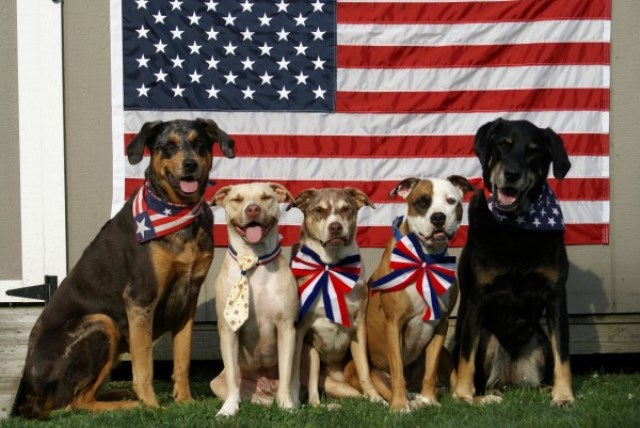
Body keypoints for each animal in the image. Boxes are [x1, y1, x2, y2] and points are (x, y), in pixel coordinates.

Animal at [18, 118, 236, 420]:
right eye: (168, 146)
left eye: (199, 143)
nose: (190, 164)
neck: (177, 211)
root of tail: (27, 389)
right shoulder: (140, 299)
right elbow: (144, 366)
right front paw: (153, 406)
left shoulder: (189, 299)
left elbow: (182, 361)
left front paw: (185, 401)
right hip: (101, 323)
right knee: (75, 401)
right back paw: (129, 404)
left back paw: (119, 395)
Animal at [210, 182, 300, 416]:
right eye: (237, 199)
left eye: (266, 197)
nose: (252, 209)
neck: (255, 260)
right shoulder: (228, 329)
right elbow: (233, 379)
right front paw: (228, 410)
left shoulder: (286, 328)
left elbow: (286, 375)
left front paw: (287, 406)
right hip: (217, 383)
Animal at [286, 189, 382, 406]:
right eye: (318, 210)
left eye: (346, 209)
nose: (335, 227)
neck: (331, 265)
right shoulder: (300, 328)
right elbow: (293, 371)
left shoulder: (359, 326)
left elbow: (365, 372)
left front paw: (376, 398)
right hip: (312, 356)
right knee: (313, 397)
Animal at [362, 175, 472, 412]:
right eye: (422, 201)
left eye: (451, 201)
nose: (438, 217)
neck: (424, 258)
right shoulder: (394, 323)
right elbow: (397, 371)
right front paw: (400, 406)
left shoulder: (441, 324)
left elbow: (430, 370)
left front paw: (429, 399)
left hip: (447, 358)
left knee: (456, 387)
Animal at [450, 118, 576, 406]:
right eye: (503, 145)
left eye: (533, 151)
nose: (511, 174)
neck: (516, 228)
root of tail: (509, 378)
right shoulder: (477, 297)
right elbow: (466, 357)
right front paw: (462, 394)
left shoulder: (556, 296)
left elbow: (563, 352)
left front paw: (564, 395)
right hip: (487, 338)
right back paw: (482, 394)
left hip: (538, 339)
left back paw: (546, 389)